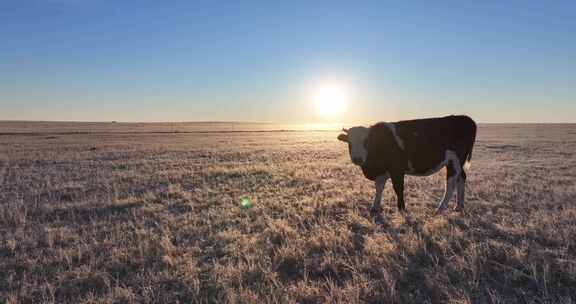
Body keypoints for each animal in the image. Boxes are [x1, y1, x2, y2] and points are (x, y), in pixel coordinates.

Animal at [338, 115, 476, 215]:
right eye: (349, 142)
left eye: (366, 141)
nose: (358, 158)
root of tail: (466, 119)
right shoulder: (382, 173)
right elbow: (379, 188)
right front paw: (374, 207)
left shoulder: (397, 170)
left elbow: (398, 188)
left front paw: (402, 209)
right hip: (458, 163)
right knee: (462, 178)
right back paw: (459, 206)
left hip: (454, 161)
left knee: (451, 183)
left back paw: (440, 209)